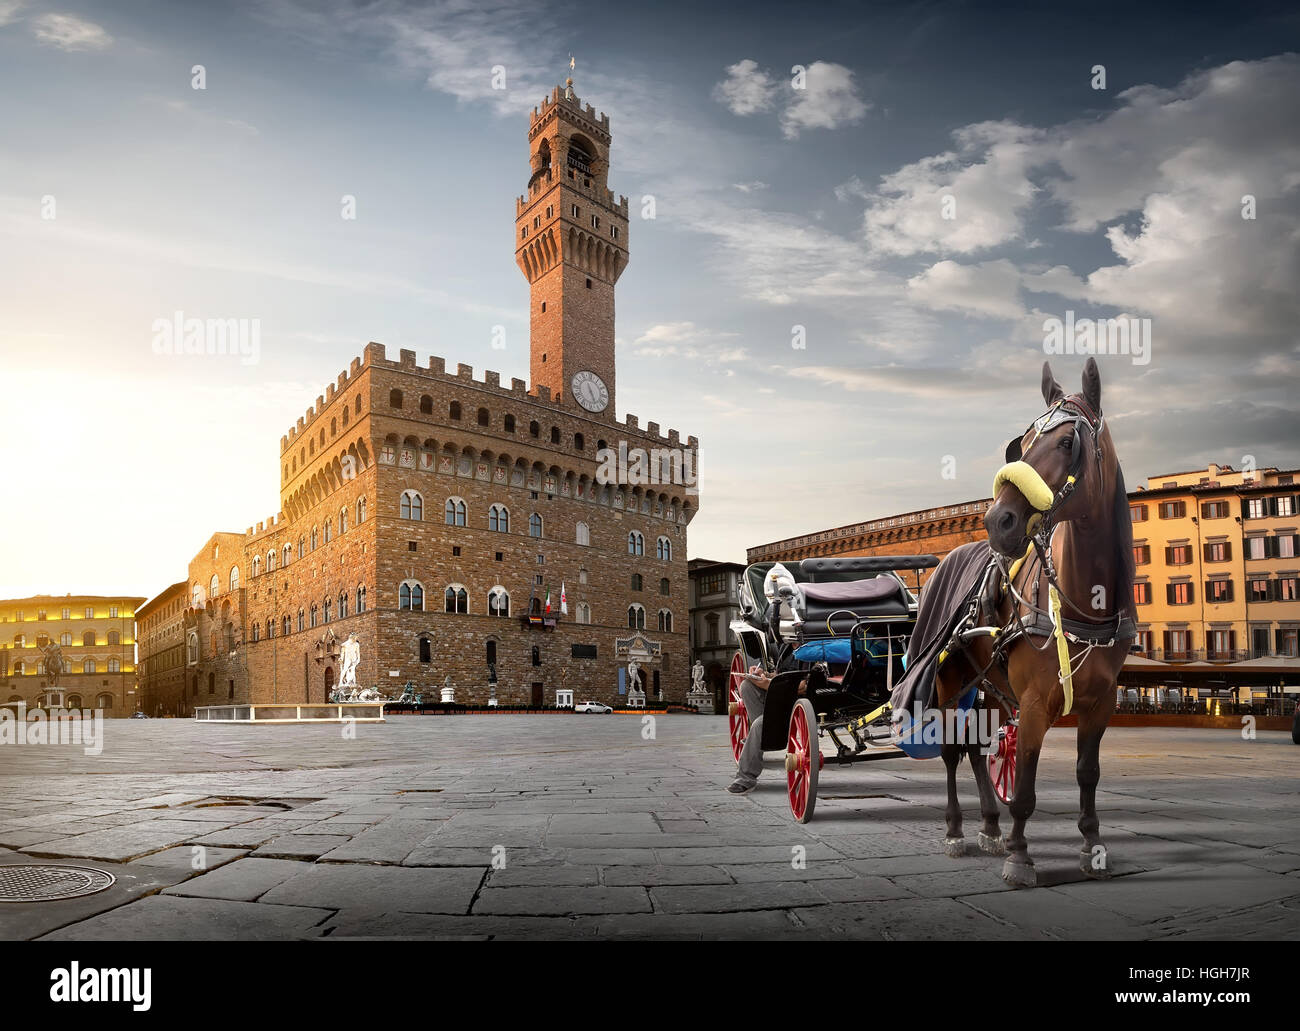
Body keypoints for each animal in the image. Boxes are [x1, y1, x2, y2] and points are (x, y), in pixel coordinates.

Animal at [935, 356, 1138, 884]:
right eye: (1022, 444)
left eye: (1068, 443)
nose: (997, 521)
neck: (1085, 606)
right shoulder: (1030, 702)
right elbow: (1024, 781)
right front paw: (1020, 853)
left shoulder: (1102, 702)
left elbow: (1087, 773)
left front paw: (1091, 844)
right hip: (949, 682)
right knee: (951, 751)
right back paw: (957, 831)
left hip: (987, 686)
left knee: (976, 750)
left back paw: (989, 825)